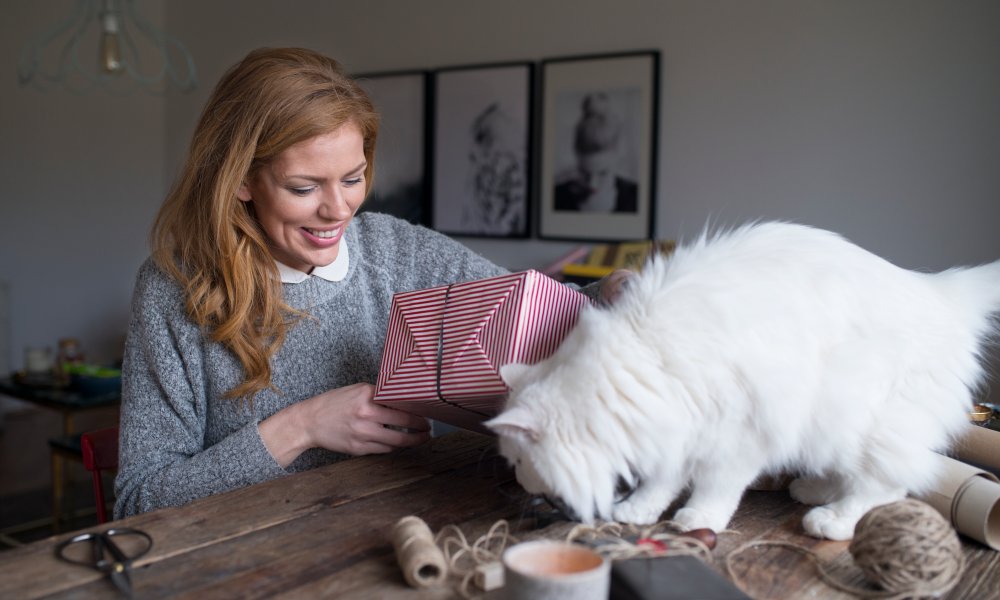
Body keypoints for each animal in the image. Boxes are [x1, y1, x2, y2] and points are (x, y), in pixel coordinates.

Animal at [486, 221, 1000, 540]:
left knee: (883, 486)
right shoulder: (677, 429)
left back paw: (830, 520)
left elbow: (715, 487)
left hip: (862, 422)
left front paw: (696, 519)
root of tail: (943, 292)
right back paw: (812, 491)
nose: (519, 481)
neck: (643, 360)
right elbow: (661, 481)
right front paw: (637, 512)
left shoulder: (737, 436)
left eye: (517, 460)